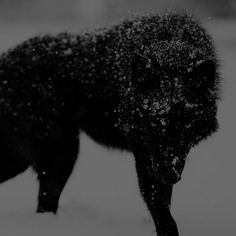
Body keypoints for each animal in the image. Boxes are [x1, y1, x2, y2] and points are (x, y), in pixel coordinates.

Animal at [0, 12, 219, 235]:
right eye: (152, 122)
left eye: (185, 123)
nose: (168, 174)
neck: (168, 44)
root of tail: (4, 61)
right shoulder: (145, 153)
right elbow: (161, 209)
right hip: (55, 153)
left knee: (45, 205)